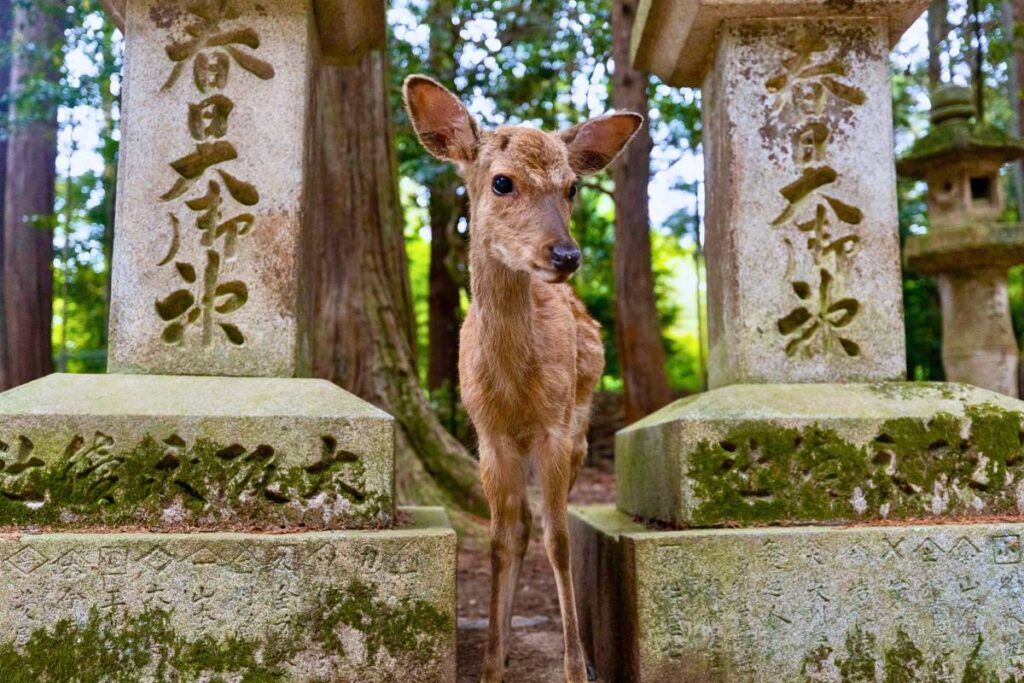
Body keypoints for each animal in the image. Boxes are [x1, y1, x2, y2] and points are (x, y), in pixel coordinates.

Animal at [404, 75, 642, 683]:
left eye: (573, 187)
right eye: (502, 182)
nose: (566, 254)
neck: (512, 389)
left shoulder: (555, 430)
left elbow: (560, 540)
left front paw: (576, 667)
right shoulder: (488, 438)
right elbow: (500, 541)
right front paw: (491, 664)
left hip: (581, 433)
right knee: (524, 526)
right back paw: (508, 643)